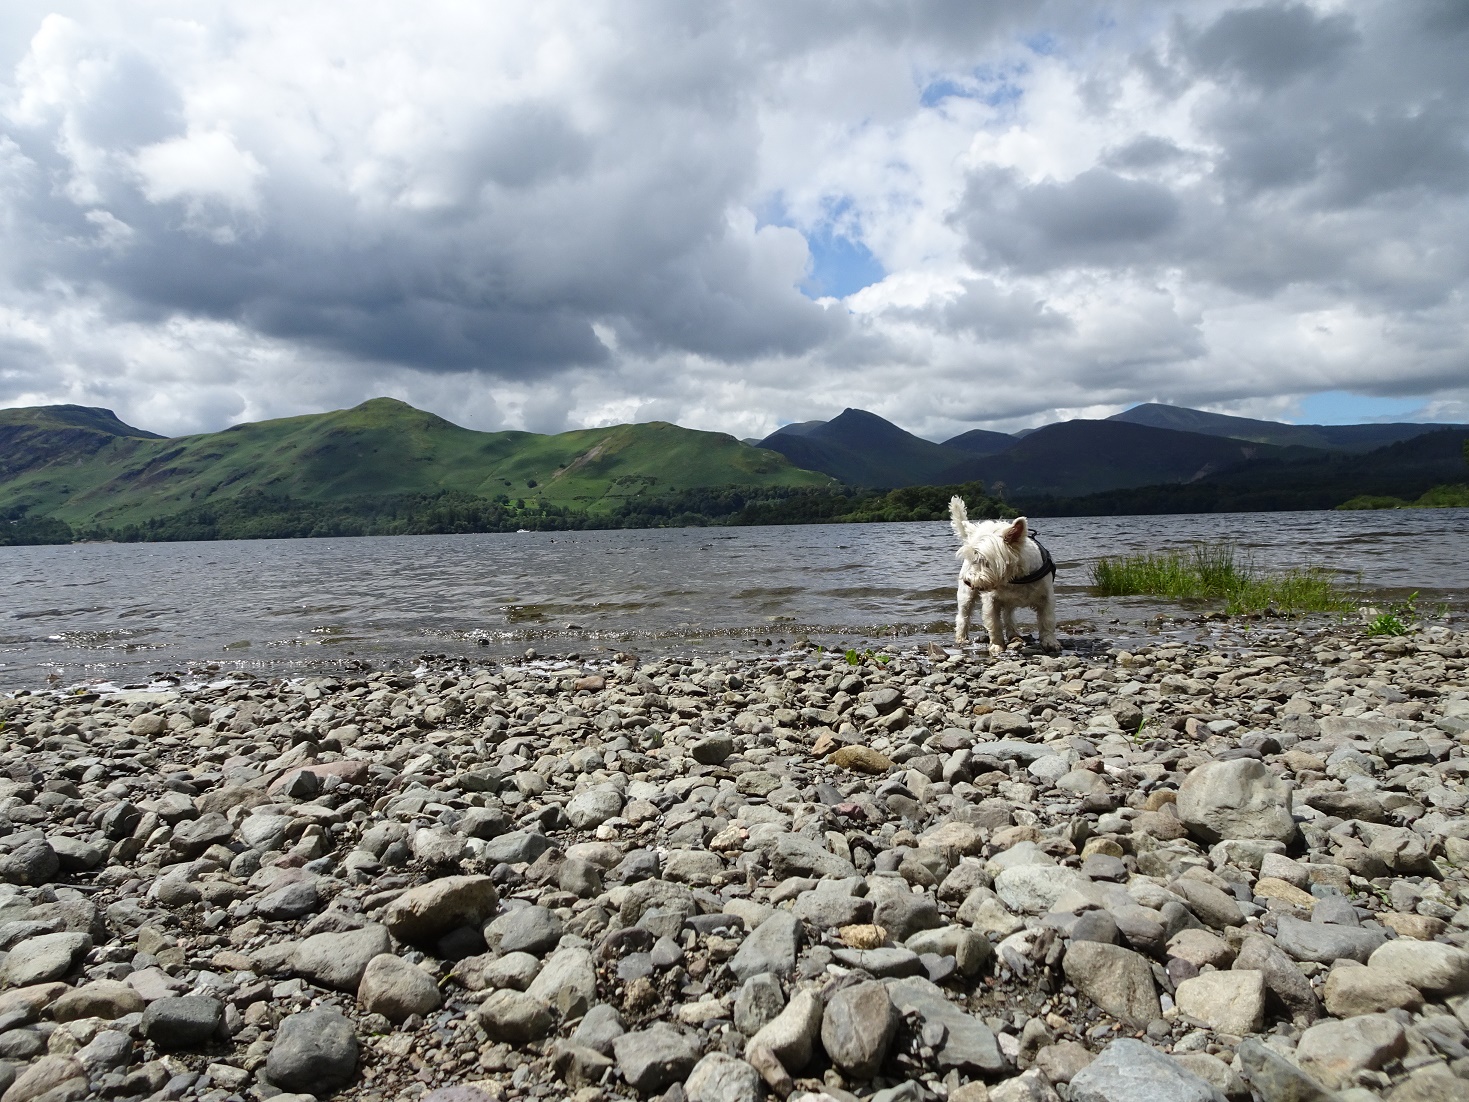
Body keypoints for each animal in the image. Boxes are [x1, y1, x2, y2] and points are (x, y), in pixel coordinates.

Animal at [951, 499, 1057, 655]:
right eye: (970, 558)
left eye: (983, 559)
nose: (967, 581)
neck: (1016, 578)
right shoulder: (991, 601)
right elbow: (994, 623)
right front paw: (996, 645)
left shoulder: (1046, 596)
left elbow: (1047, 620)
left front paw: (1050, 642)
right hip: (966, 596)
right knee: (963, 615)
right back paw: (961, 637)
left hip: (1009, 602)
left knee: (1008, 615)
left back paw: (1013, 634)